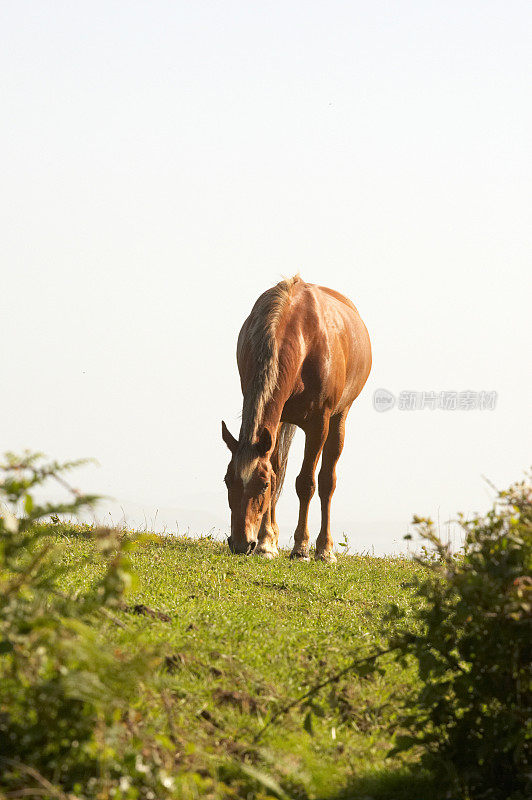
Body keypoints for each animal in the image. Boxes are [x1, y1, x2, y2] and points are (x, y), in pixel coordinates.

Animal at [220, 276, 370, 564]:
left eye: (262, 485)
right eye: (227, 480)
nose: (242, 543)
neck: (301, 337)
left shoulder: (319, 423)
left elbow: (307, 483)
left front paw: (301, 548)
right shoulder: (275, 420)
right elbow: (277, 470)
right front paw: (267, 543)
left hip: (339, 418)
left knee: (327, 481)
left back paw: (325, 549)